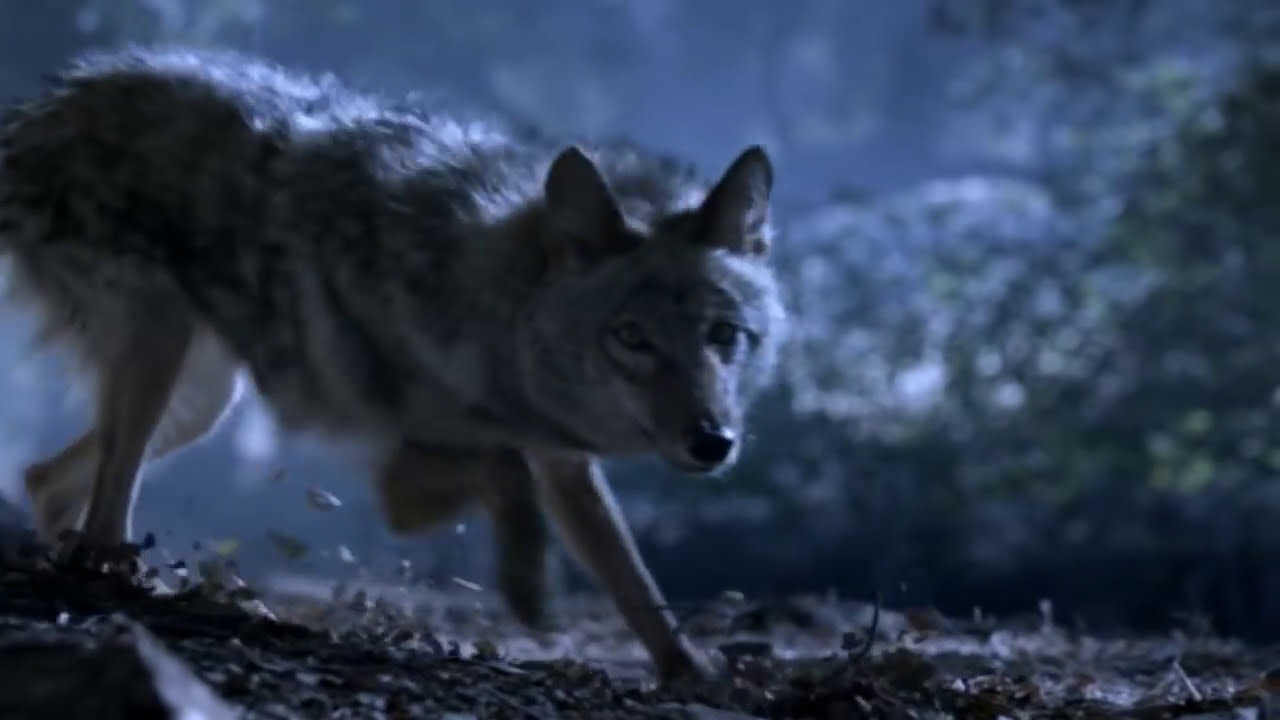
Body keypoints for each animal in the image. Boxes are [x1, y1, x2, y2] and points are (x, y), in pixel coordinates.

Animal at [0, 45, 786, 683]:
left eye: (723, 334)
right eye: (631, 338)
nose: (713, 443)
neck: (489, 303)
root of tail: (44, 106)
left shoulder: (564, 460)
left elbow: (632, 577)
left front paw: (689, 672)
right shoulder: (405, 477)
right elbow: (503, 472)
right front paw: (527, 584)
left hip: (200, 402)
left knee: (47, 478)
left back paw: (78, 567)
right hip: (162, 354)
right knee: (104, 494)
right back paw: (121, 579)